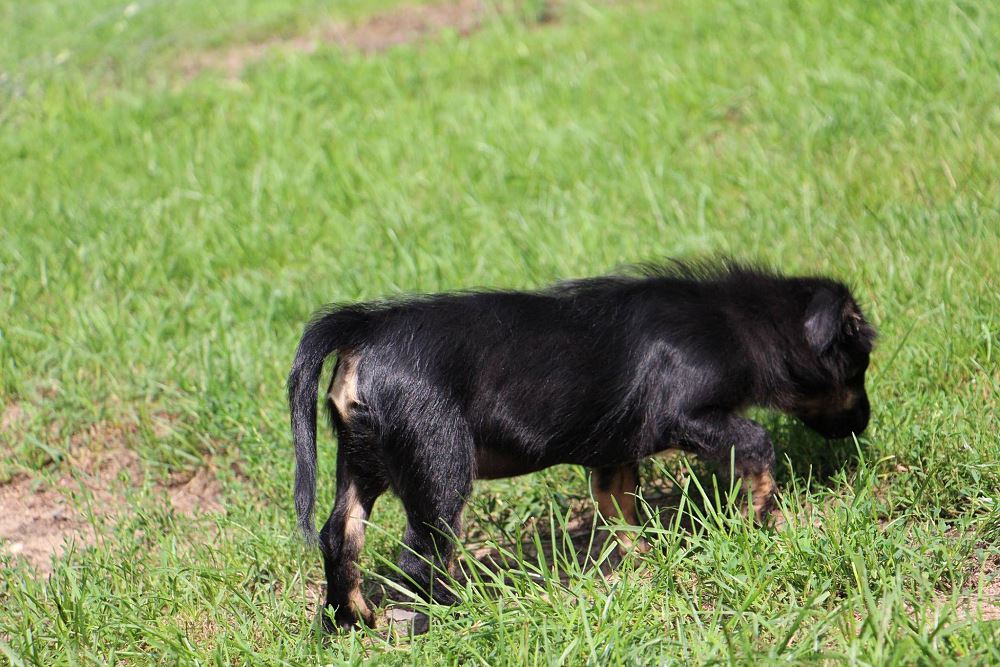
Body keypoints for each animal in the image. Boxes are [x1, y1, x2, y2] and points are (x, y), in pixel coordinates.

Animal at [287, 261, 876, 631]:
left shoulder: (615, 454)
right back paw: (456, 614)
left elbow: (621, 510)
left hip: (362, 460)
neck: (746, 321)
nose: (864, 425)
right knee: (422, 554)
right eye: (859, 365)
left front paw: (644, 562)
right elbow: (757, 443)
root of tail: (363, 329)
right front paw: (764, 518)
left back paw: (350, 621)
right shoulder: (687, 416)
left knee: (340, 536)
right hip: (439, 462)